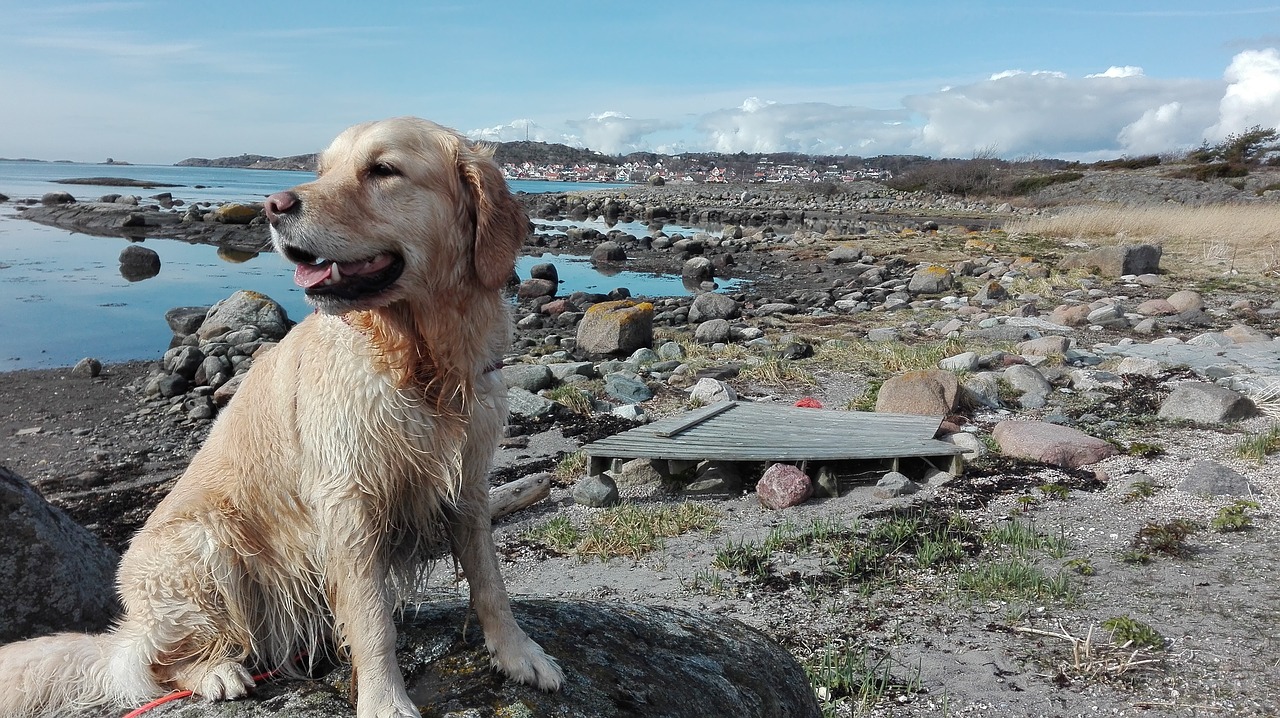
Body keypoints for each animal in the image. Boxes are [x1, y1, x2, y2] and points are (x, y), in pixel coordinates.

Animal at [0, 114, 560, 711]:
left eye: (382, 170)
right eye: (324, 169)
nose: (273, 205)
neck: (418, 361)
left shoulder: (469, 482)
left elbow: (490, 580)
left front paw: (519, 653)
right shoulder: (347, 500)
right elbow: (373, 620)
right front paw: (386, 701)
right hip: (207, 542)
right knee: (153, 665)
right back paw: (216, 672)